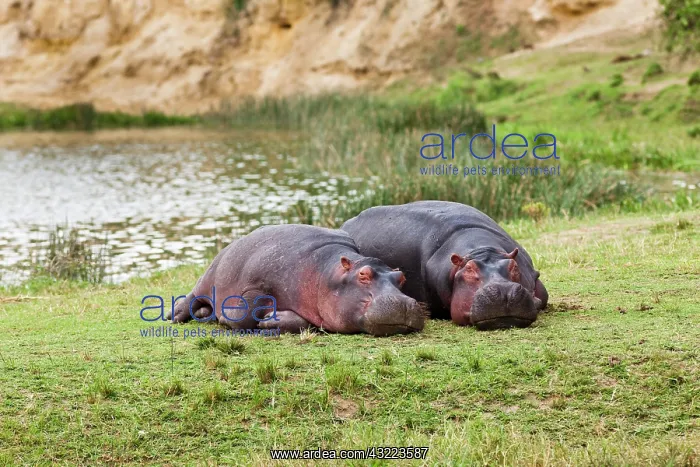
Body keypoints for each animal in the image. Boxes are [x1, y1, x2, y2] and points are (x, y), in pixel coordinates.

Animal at [167, 224, 426, 336]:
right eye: (363, 274)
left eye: (401, 277)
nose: (404, 303)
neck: (326, 272)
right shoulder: (255, 284)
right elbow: (245, 315)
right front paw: (226, 318)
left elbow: (302, 323)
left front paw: (271, 320)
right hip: (208, 276)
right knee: (192, 296)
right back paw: (176, 315)